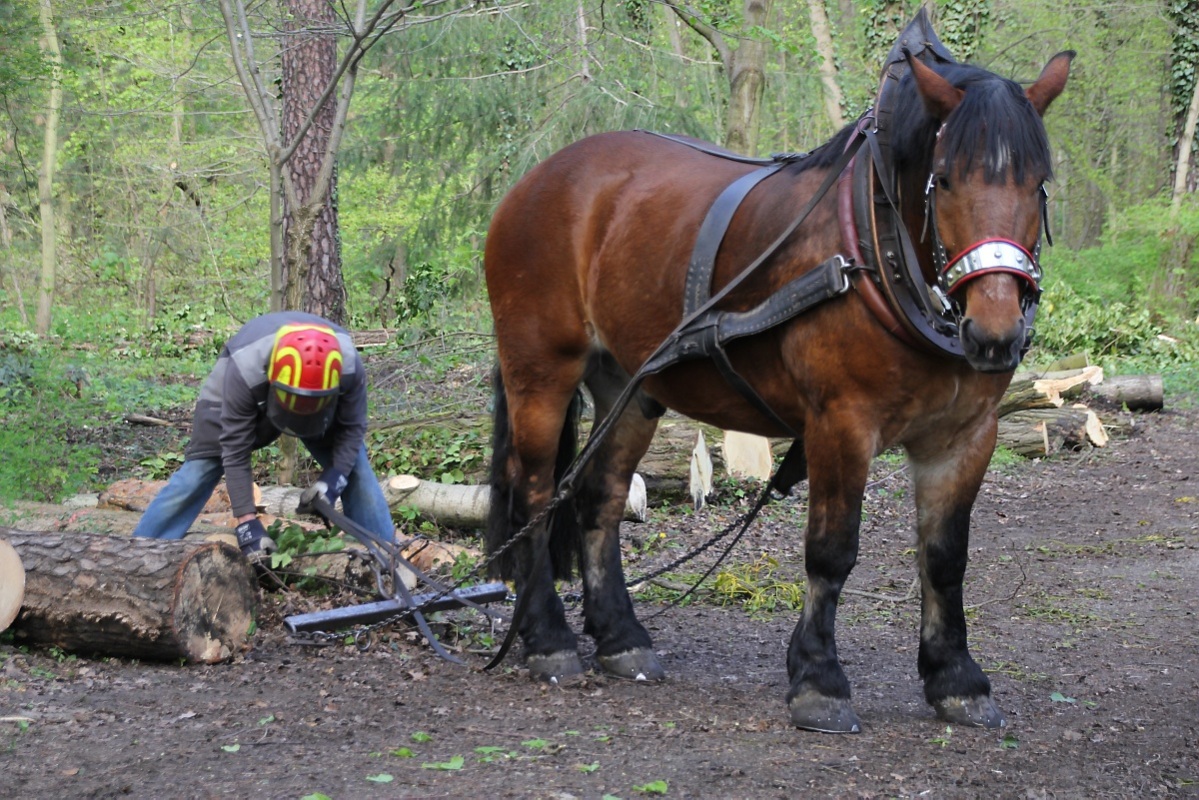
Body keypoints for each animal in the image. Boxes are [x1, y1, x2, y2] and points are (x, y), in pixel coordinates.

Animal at [481, 43, 1074, 734]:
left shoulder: (965, 437)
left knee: (598, 498)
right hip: (541, 371)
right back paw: (547, 639)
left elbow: (945, 557)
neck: (876, 246)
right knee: (535, 493)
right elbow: (831, 551)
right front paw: (818, 679)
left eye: (1037, 183)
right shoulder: (840, 424)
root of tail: (538, 178)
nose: (996, 332)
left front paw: (956, 677)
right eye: (946, 179)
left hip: (629, 386)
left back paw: (621, 639)